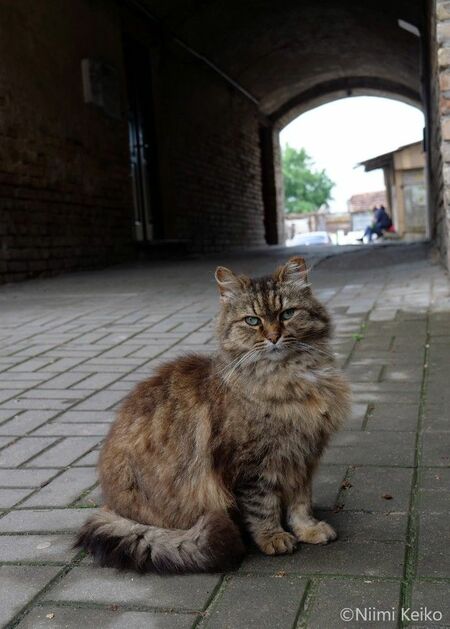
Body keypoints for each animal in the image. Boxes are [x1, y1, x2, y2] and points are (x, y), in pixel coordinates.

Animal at [75, 256, 351, 574]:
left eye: (287, 314)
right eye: (252, 321)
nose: (274, 337)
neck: (292, 377)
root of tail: (111, 506)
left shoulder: (302, 457)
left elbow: (301, 502)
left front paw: (308, 529)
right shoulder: (253, 465)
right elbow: (263, 507)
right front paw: (273, 537)